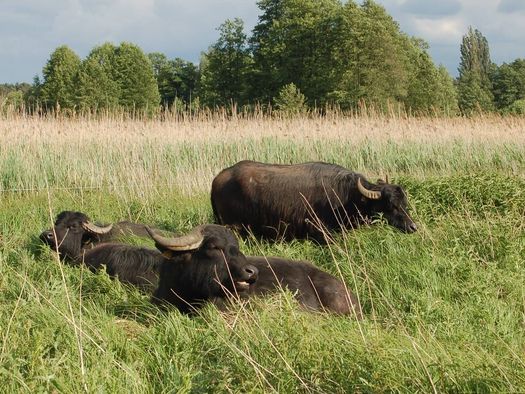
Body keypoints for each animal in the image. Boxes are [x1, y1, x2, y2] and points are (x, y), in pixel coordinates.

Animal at [211, 160, 416, 240]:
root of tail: (218, 179)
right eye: (391, 205)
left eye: (404, 203)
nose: (413, 226)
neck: (346, 196)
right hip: (233, 227)